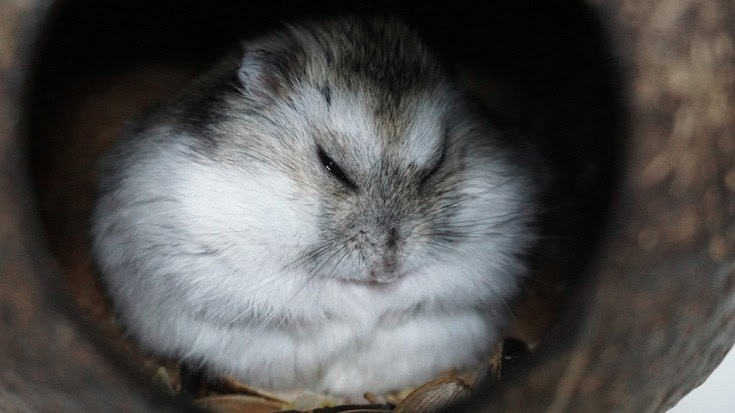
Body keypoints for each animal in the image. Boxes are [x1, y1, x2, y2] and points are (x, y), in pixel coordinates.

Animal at [91, 16, 539, 396]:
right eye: (331, 164)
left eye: (436, 165)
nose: (386, 271)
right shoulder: (210, 259)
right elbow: (306, 297)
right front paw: (357, 304)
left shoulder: (490, 253)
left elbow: (436, 287)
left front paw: (384, 303)